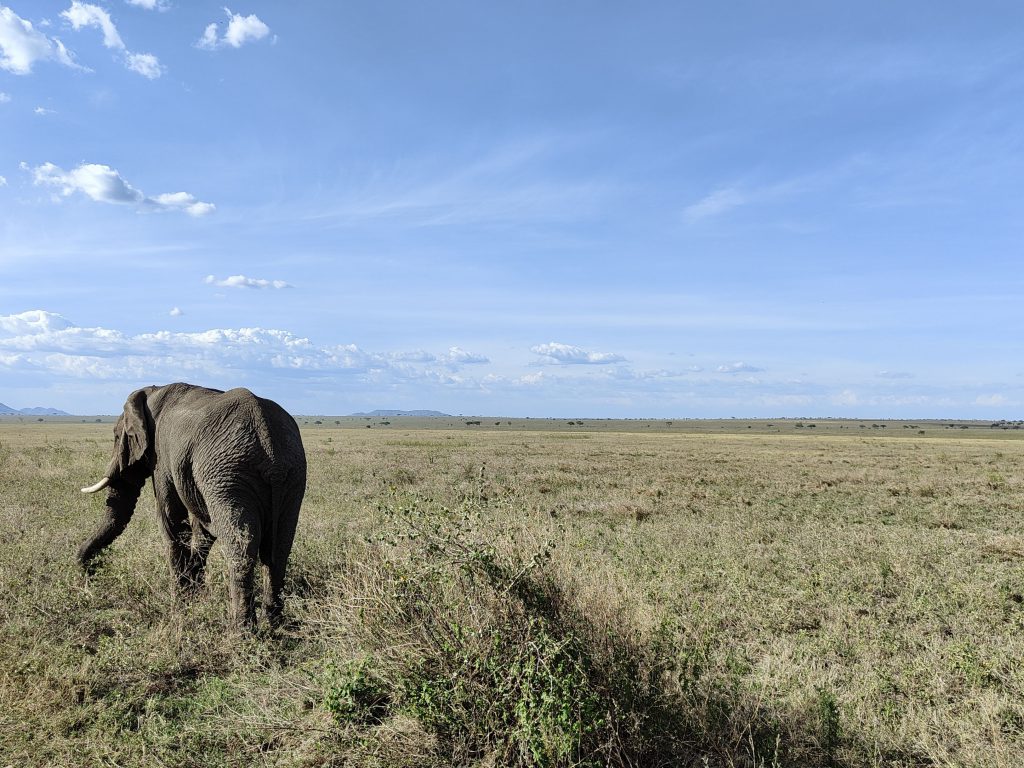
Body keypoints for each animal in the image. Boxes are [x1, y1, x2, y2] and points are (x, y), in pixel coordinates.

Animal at [78, 385, 305, 630]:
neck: (152, 392)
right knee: (279, 547)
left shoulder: (162, 457)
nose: (90, 576)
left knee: (241, 547)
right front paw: (195, 595)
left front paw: (180, 605)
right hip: (290, 476)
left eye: (118, 436)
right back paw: (274, 625)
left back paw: (241, 632)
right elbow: (201, 529)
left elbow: (171, 518)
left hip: (230, 474)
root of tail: (269, 443)